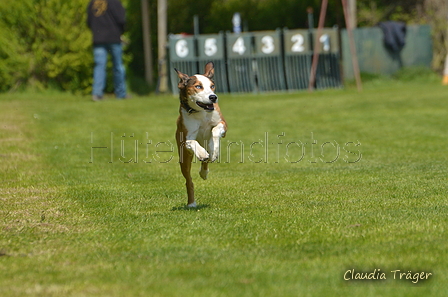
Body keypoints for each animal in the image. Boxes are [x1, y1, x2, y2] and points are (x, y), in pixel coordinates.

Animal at [172, 61, 226, 207]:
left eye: (212, 86)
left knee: (206, 159)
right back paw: (191, 203)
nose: (213, 97)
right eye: (198, 86)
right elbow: (191, 141)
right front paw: (201, 153)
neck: (201, 112)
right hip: (183, 158)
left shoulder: (222, 123)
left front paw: (214, 150)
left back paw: (204, 170)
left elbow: (214, 131)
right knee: (188, 180)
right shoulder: (186, 137)